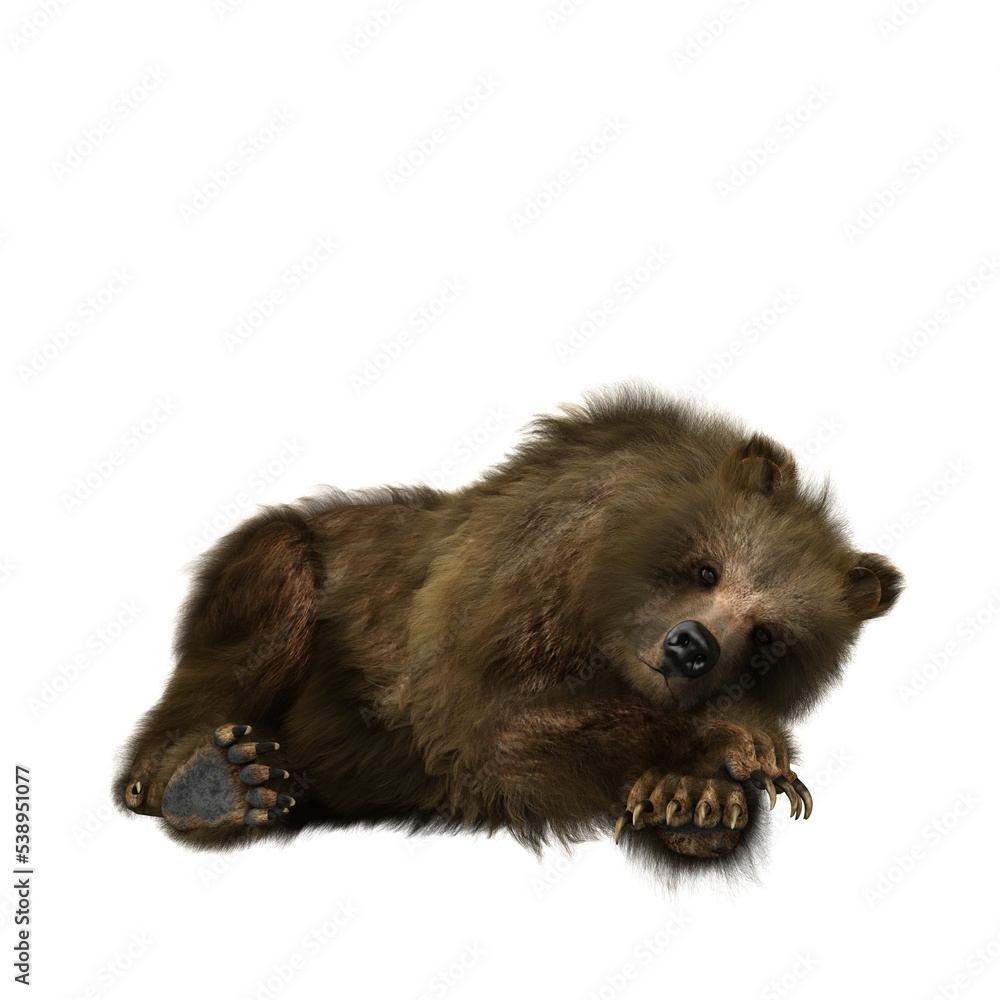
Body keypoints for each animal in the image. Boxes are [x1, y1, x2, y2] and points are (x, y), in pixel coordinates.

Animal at [113, 381, 902, 878]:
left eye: (768, 634)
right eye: (707, 569)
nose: (690, 647)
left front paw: (695, 801)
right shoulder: (516, 590)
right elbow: (487, 722)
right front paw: (740, 750)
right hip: (284, 571)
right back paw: (213, 780)